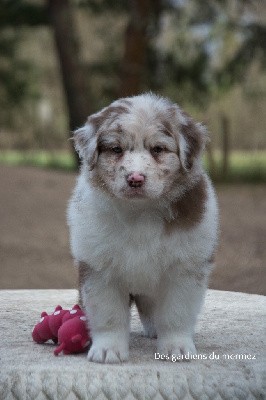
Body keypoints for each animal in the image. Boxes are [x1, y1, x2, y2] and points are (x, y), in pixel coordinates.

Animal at [67, 93, 219, 362]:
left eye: (158, 149)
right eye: (116, 149)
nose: (135, 179)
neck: (141, 212)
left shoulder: (185, 267)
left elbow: (176, 313)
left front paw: (176, 347)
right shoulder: (98, 267)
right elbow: (108, 314)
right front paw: (108, 349)